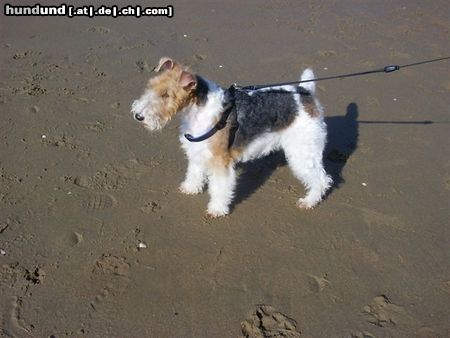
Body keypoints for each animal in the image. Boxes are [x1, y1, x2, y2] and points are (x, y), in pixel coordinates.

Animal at [130, 57, 330, 217]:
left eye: (166, 95)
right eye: (150, 86)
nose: (138, 116)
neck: (198, 109)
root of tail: (305, 91)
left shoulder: (220, 161)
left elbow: (220, 187)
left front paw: (217, 209)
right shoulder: (198, 150)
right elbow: (194, 172)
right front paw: (190, 188)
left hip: (303, 151)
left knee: (322, 179)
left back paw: (308, 201)